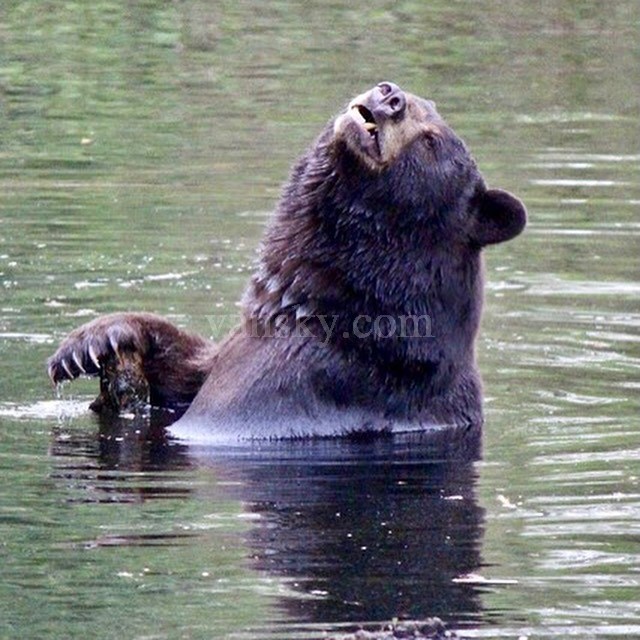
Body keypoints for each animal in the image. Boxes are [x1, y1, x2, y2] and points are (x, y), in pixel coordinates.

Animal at [47, 82, 526, 443]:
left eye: (431, 140)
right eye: (426, 105)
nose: (391, 95)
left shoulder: (295, 382)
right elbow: (188, 364)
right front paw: (88, 345)